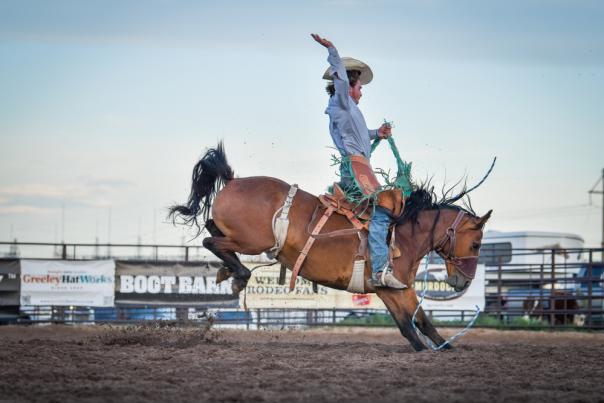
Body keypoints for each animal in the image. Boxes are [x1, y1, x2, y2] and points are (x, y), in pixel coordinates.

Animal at [169, 142, 490, 350]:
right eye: (476, 243)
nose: (463, 282)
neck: (404, 233)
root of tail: (234, 180)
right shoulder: (392, 288)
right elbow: (412, 325)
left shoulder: (395, 289)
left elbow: (417, 323)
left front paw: (445, 349)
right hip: (252, 241)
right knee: (210, 239)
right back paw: (238, 276)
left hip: (241, 237)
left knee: (211, 228)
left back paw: (229, 272)